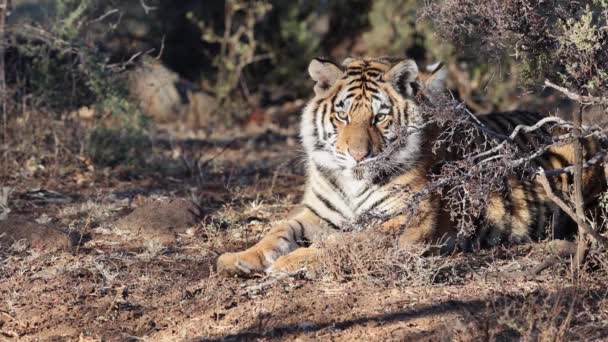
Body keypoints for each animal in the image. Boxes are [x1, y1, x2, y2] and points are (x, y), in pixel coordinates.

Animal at [216, 56, 604, 276]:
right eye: (343, 115)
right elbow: (277, 231)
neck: (352, 181)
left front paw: (290, 263)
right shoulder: (317, 213)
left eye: (380, 117)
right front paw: (238, 258)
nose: (358, 155)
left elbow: (342, 242)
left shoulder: (403, 221)